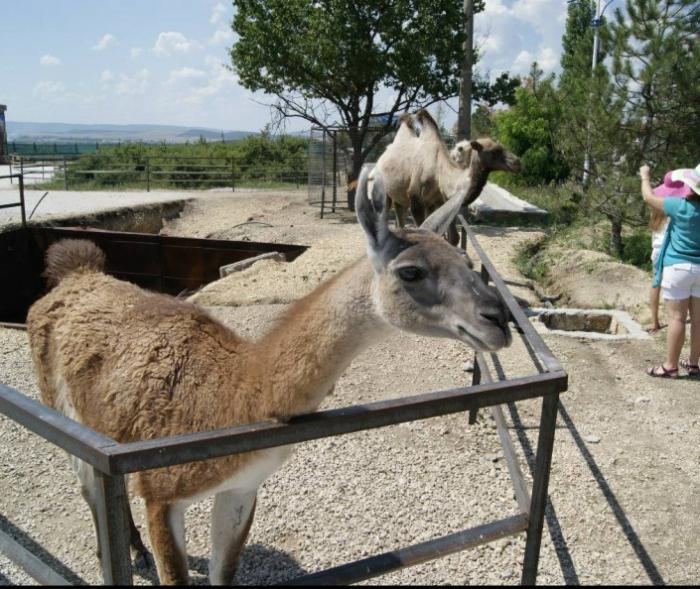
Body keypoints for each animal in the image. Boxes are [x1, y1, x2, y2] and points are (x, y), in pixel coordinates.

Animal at [27, 168, 512, 584]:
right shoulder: (163, 494)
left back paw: (133, 549)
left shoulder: (241, 489)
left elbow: (223, 572)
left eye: (465, 259)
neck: (236, 393)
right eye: (412, 271)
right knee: (91, 488)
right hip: (64, 412)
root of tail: (77, 275)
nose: (499, 319)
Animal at [372, 109, 520, 240]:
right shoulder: (416, 200)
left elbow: (453, 237)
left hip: (401, 196)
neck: (439, 172)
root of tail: (381, 158)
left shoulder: (441, 201)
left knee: (399, 217)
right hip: (386, 192)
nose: (517, 163)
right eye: (494, 151)